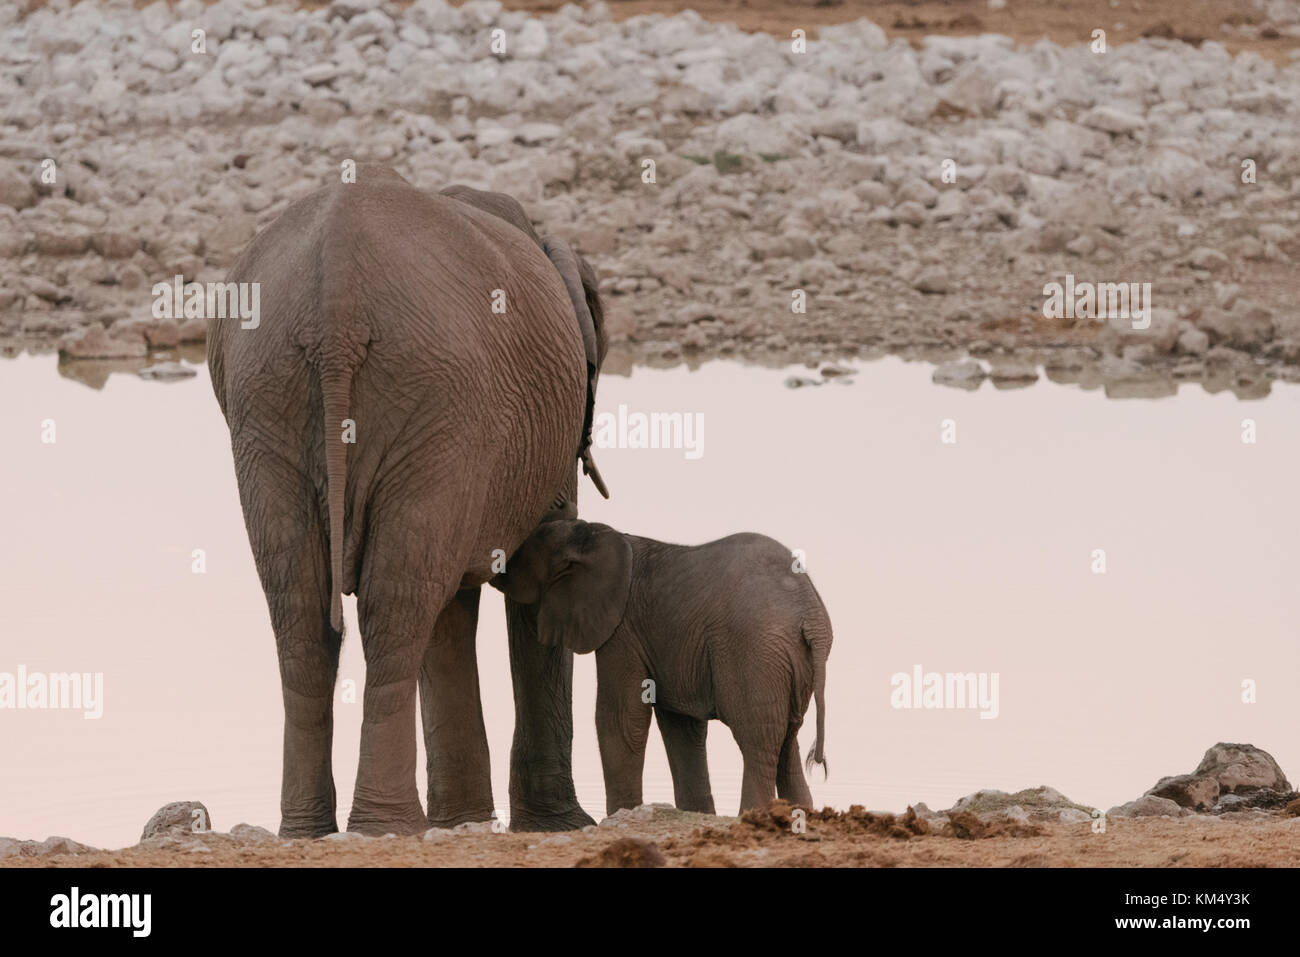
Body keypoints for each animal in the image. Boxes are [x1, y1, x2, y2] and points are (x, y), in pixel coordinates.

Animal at [205, 166, 605, 837]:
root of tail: (336, 296)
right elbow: (540, 571)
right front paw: (564, 826)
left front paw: (469, 820)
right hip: (431, 399)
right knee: (395, 605)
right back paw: (389, 826)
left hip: (270, 402)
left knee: (308, 608)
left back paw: (317, 829)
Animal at [488, 520, 832, 816]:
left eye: (528, 546)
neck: (600, 535)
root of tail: (810, 617)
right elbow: (682, 726)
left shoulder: (622, 629)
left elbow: (621, 718)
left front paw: (620, 817)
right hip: (789, 661)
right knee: (787, 739)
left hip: (752, 653)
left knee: (758, 740)